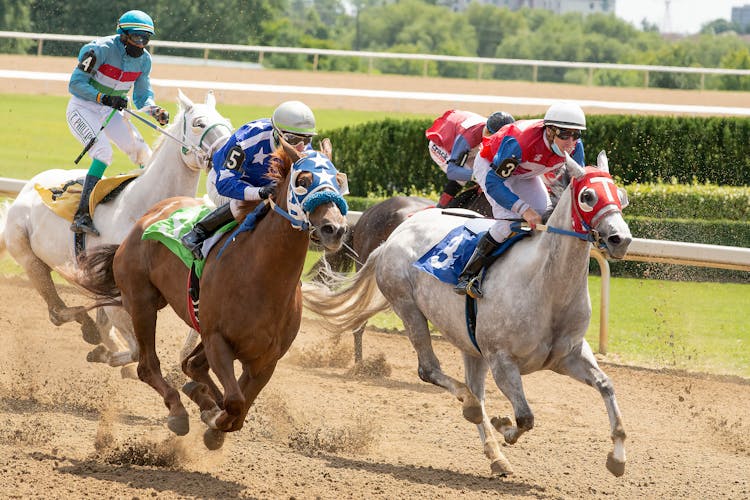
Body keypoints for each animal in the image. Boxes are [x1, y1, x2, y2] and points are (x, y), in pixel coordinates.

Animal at [0, 90, 234, 374]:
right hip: (29, 258)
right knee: (57, 311)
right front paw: (113, 359)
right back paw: (87, 328)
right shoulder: (121, 294)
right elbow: (134, 349)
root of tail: (26, 189)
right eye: (200, 123)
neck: (145, 207)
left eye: (226, 121)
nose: (231, 155)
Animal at [73, 138, 350, 450]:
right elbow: (235, 401)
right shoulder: (217, 339)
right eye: (303, 181)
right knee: (148, 366)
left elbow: (239, 408)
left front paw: (212, 417)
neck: (263, 277)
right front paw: (211, 416)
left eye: (338, 181)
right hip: (142, 303)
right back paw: (178, 411)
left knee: (190, 365)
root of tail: (148, 215)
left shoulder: (266, 359)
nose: (335, 229)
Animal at [304, 151, 636, 476]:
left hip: (469, 341)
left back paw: (495, 455)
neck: (546, 285)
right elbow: (525, 417)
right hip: (407, 306)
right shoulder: (502, 360)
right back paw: (470, 408)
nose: (620, 239)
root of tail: (394, 237)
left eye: (621, 196)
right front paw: (504, 426)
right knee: (434, 373)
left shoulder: (569, 355)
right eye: (588, 196)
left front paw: (618, 457)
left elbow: (606, 386)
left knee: (474, 389)